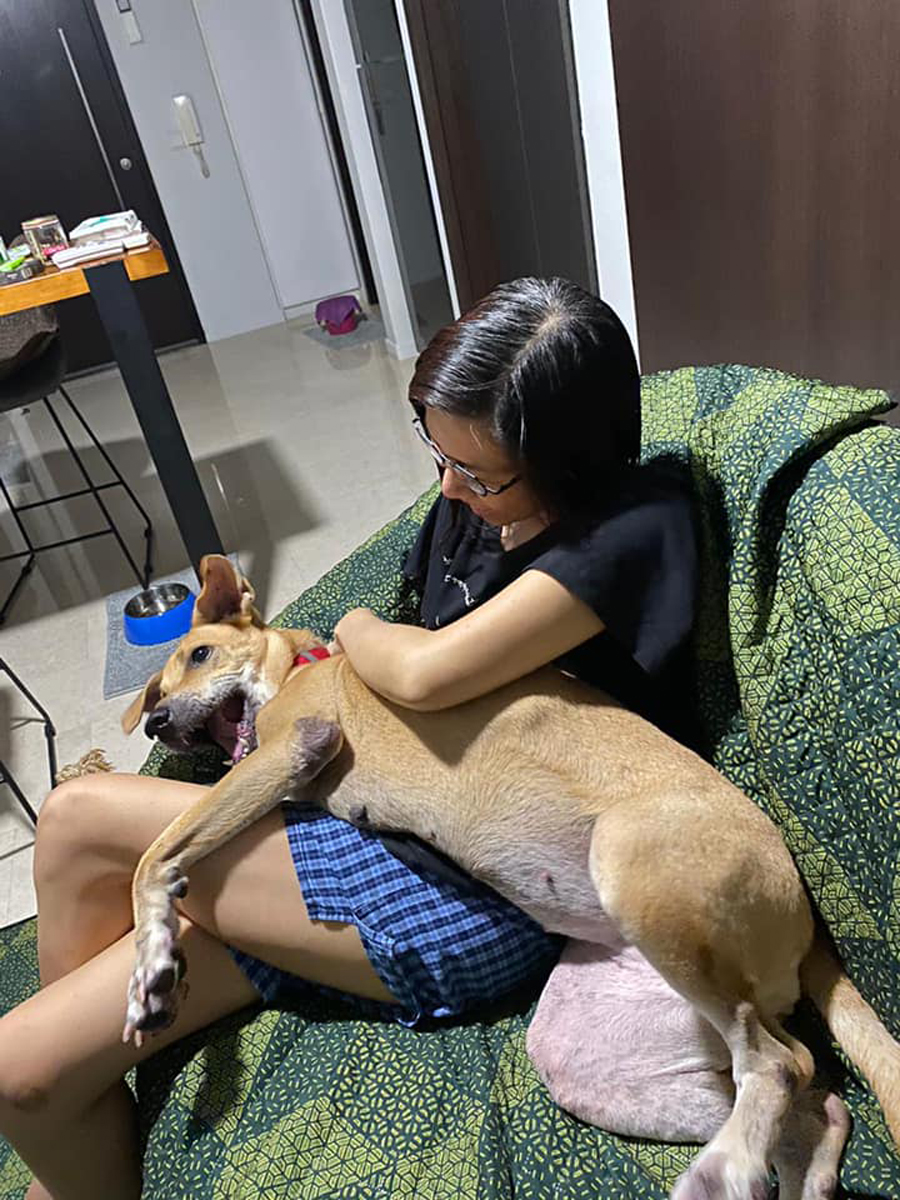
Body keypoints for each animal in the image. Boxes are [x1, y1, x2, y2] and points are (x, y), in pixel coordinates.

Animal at [122, 555, 900, 1200]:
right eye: (159, 685)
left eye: (200, 653)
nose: (156, 721)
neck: (297, 667)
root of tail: (807, 927)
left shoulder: (294, 748)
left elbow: (148, 858)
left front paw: (153, 965)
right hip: (591, 1049)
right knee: (814, 1098)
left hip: (633, 870)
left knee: (780, 1064)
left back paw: (720, 1171)